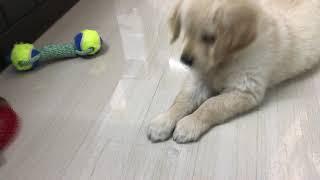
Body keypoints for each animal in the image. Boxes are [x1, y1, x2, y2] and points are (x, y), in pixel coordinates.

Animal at [148, 0, 320, 143]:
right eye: (186, 32)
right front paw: (163, 122)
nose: (184, 60)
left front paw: (189, 124)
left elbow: (211, 105)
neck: (226, 59)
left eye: (209, 38)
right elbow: (182, 99)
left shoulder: (245, 89)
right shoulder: (200, 80)